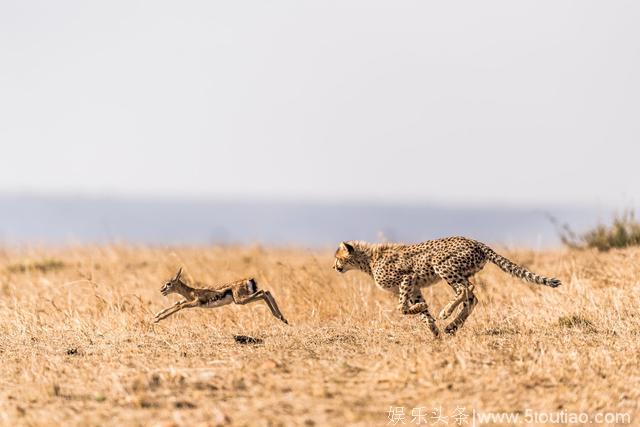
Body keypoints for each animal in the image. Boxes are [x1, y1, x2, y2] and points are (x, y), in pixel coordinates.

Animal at [336, 237, 560, 338]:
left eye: (338, 258)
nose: (334, 267)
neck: (368, 260)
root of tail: (475, 242)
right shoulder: (415, 287)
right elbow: (422, 312)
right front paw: (434, 330)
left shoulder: (407, 278)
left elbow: (401, 307)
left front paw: (428, 315)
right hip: (460, 271)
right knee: (472, 297)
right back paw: (452, 326)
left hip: (442, 265)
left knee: (466, 289)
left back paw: (446, 313)